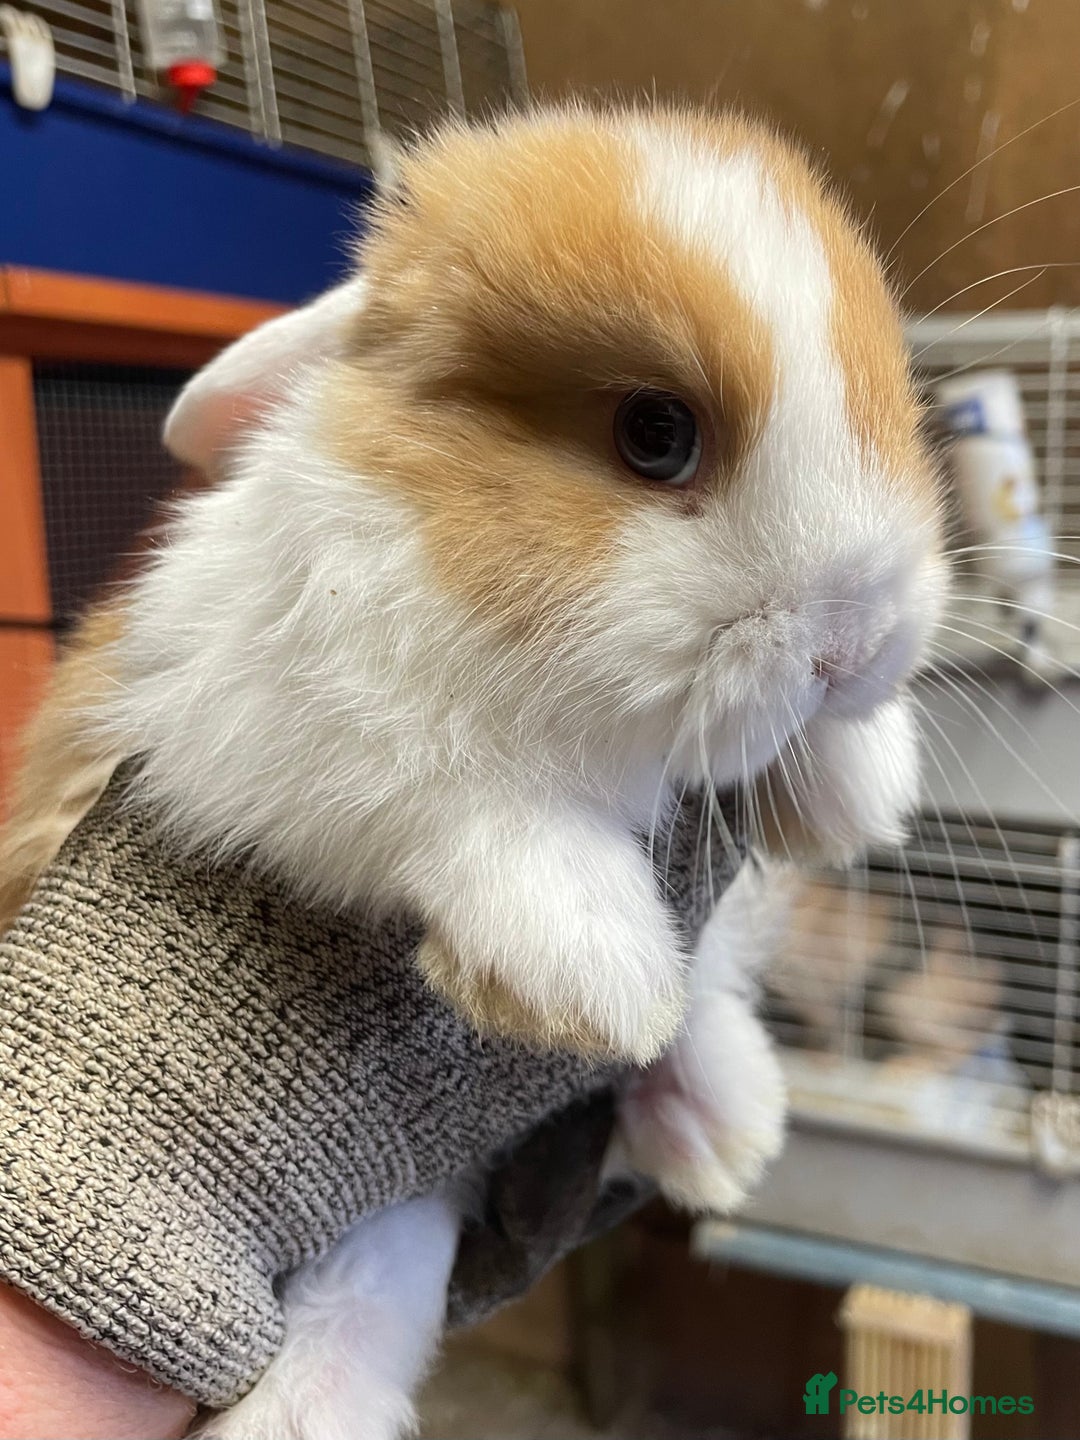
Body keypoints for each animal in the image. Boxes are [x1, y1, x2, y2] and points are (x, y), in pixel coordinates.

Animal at [0, 103, 947, 1439]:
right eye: (655, 434)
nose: (858, 644)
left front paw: (857, 783)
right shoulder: (268, 728)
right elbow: (464, 801)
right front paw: (596, 980)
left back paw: (713, 1124)